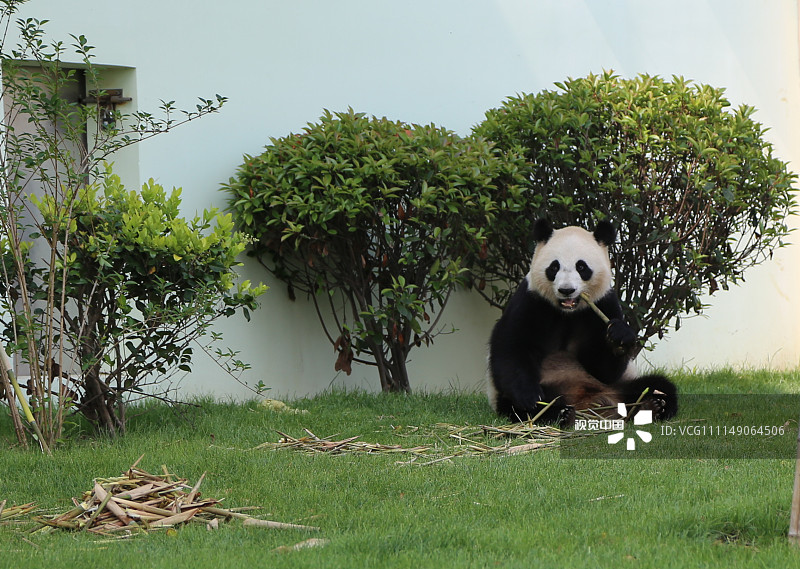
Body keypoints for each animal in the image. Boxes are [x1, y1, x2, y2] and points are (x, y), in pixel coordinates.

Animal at [484, 220, 680, 424]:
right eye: (554, 267)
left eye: (581, 267)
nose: (566, 290)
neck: (567, 312)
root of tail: (589, 404)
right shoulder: (530, 300)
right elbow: (511, 346)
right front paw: (530, 397)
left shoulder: (603, 303)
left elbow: (603, 369)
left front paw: (619, 337)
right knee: (514, 404)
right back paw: (558, 413)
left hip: (621, 385)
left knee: (658, 385)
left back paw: (652, 406)